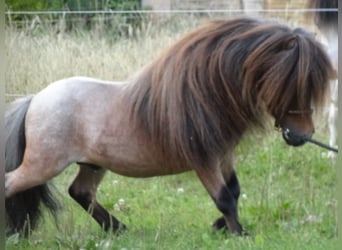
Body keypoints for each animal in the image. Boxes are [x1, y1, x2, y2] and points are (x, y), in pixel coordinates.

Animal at [5, 17, 336, 236]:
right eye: (292, 84)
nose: (303, 136)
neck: (206, 93)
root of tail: (35, 99)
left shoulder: (223, 157)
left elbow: (235, 191)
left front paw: (222, 227)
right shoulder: (204, 160)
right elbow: (224, 198)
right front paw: (238, 232)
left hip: (92, 164)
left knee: (80, 192)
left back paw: (118, 228)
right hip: (43, 165)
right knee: (9, 184)